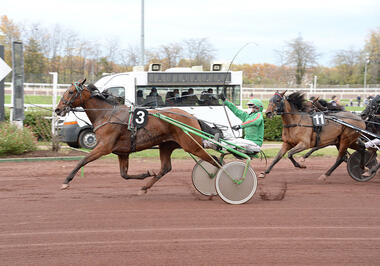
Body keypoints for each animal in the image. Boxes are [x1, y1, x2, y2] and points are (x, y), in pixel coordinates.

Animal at [55, 79, 218, 193]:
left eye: (70, 92)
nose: (57, 109)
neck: (107, 114)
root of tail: (192, 117)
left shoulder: (103, 147)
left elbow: (82, 161)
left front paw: (66, 181)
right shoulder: (122, 152)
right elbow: (124, 174)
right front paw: (146, 174)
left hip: (192, 145)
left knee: (215, 160)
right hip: (167, 145)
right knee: (166, 168)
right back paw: (144, 187)